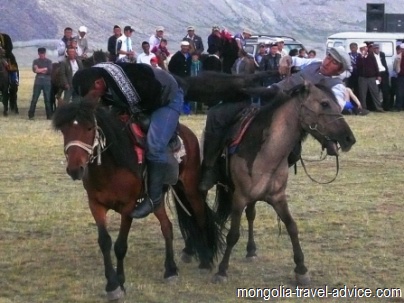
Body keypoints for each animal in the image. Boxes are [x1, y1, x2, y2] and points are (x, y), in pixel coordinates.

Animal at [52, 102, 223, 302]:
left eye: (89, 128)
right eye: (64, 130)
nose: (74, 169)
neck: (111, 166)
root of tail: (186, 132)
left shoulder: (128, 207)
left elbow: (120, 245)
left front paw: (120, 281)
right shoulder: (95, 205)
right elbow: (104, 242)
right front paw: (111, 284)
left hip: (190, 188)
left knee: (200, 217)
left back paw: (206, 259)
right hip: (156, 198)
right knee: (167, 227)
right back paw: (170, 269)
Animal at [210, 82, 356, 284]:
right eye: (324, 103)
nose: (349, 139)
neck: (267, 154)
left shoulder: (278, 197)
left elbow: (292, 227)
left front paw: (301, 269)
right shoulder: (239, 197)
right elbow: (233, 234)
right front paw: (222, 270)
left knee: (251, 215)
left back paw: (251, 250)